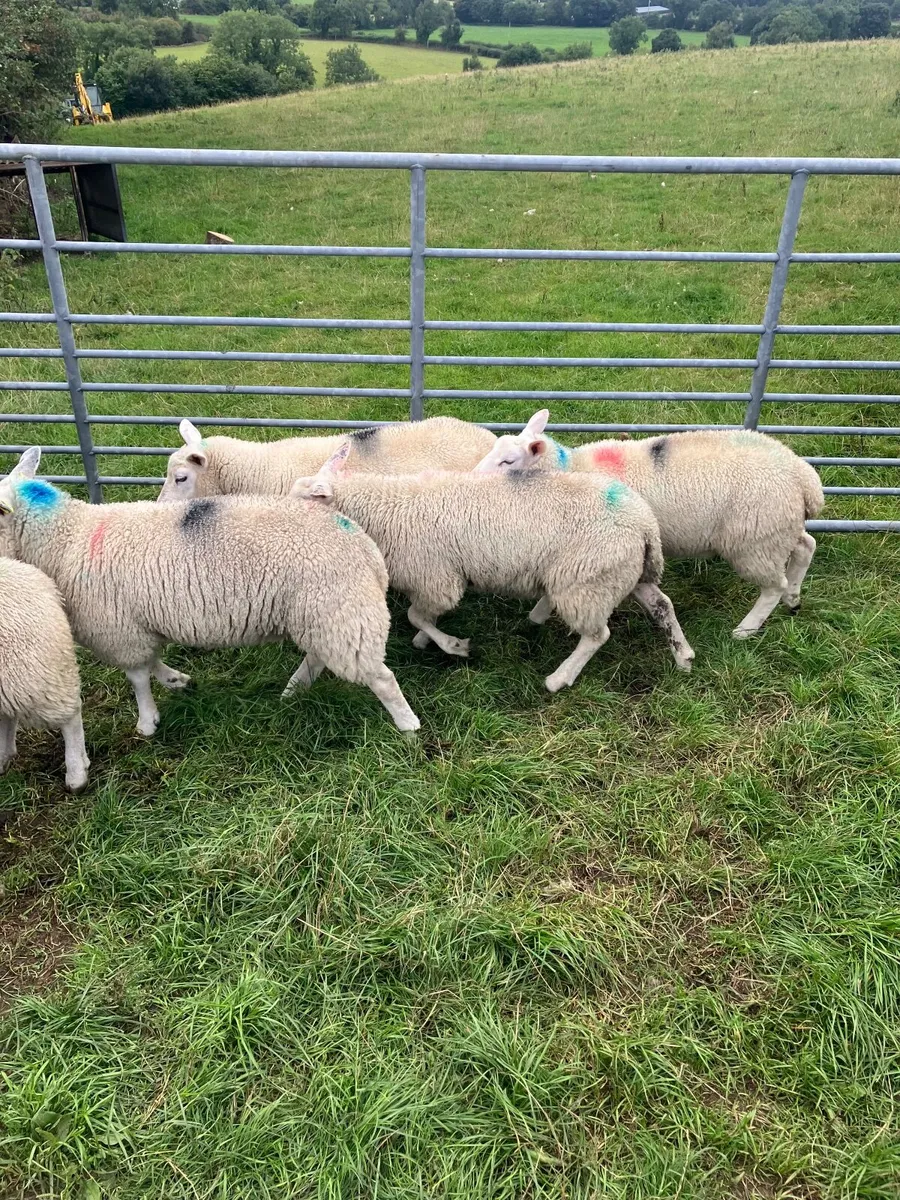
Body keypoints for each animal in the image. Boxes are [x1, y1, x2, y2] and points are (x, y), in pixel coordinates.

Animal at [0, 448, 420, 736]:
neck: (66, 537)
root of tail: (361, 543)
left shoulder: (117, 627)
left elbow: (137, 676)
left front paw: (147, 721)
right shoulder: (136, 624)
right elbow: (151, 662)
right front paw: (175, 681)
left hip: (340, 610)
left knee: (380, 676)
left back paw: (408, 726)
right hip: (325, 613)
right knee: (319, 656)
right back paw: (292, 691)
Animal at [290, 443, 695, 692]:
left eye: (304, 501)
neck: (383, 508)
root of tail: (644, 523)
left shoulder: (437, 578)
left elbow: (415, 616)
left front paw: (453, 646)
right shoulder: (434, 580)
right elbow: (421, 617)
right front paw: (430, 639)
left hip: (585, 581)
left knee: (597, 635)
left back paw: (559, 678)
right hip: (622, 573)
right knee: (662, 604)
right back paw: (684, 656)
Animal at [474, 410, 825, 639]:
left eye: (508, 461)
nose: (471, 477)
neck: (572, 468)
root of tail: (803, 475)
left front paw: (539, 615)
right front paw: (537, 618)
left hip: (755, 539)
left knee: (773, 585)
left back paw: (746, 628)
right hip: (777, 527)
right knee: (806, 546)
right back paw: (794, 598)